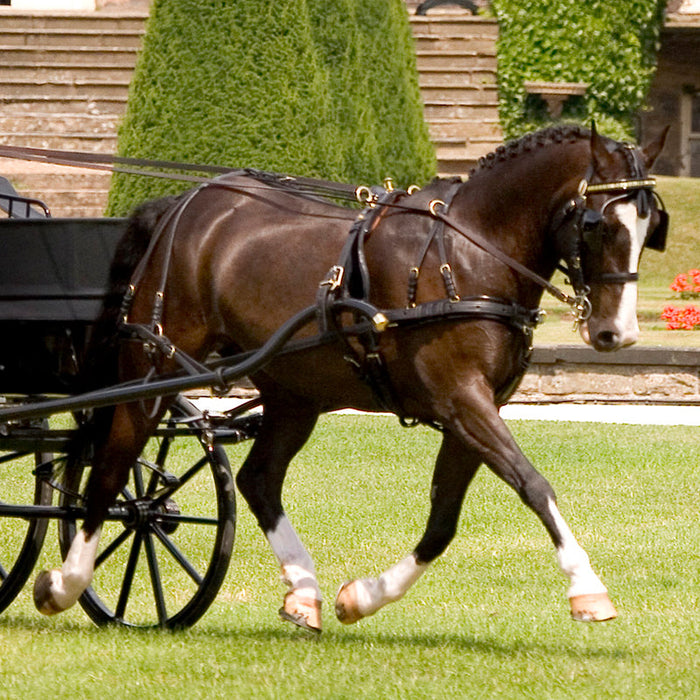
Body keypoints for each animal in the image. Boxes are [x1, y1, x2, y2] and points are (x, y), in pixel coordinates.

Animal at [32, 123, 668, 632]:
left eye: (649, 225)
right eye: (598, 224)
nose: (617, 333)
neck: (468, 253)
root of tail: (183, 203)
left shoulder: (471, 410)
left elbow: (442, 522)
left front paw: (361, 598)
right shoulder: (463, 400)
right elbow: (534, 484)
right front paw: (587, 587)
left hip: (294, 393)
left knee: (258, 481)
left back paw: (304, 591)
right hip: (154, 366)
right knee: (113, 463)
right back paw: (66, 581)